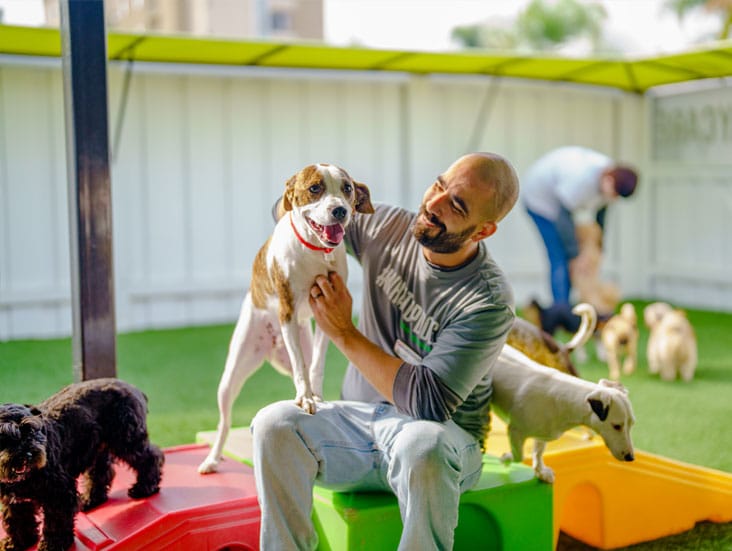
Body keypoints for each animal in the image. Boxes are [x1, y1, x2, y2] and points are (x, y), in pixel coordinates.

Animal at [0, 380, 163, 551]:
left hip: (127, 439)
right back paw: (90, 500)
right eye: (4, 437)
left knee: (151, 457)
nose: (28, 454)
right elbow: (17, 521)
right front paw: (17, 543)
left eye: (31, 431)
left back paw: (144, 488)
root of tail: (132, 388)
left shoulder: (60, 493)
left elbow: (56, 522)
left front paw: (52, 545)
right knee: (101, 473)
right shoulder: (14, 501)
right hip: (99, 449)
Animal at [197, 163, 374, 474]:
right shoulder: (288, 311)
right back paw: (212, 458)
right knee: (224, 422)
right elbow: (303, 367)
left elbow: (315, 365)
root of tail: (272, 345)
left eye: (347, 188)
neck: (315, 252)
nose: (340, 210)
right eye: (315, 188)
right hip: (231, 376)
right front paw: (305, 398)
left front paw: (315, 394)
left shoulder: (327, 312)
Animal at [492, 348, 636, 486]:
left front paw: (541, 471)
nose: (631, 458)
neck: (562, 403)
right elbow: (519, 456)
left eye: (631, 425)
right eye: (617, 426)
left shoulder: (542, 434)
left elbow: (538, 452)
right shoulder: (515, 431)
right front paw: (506, 458)